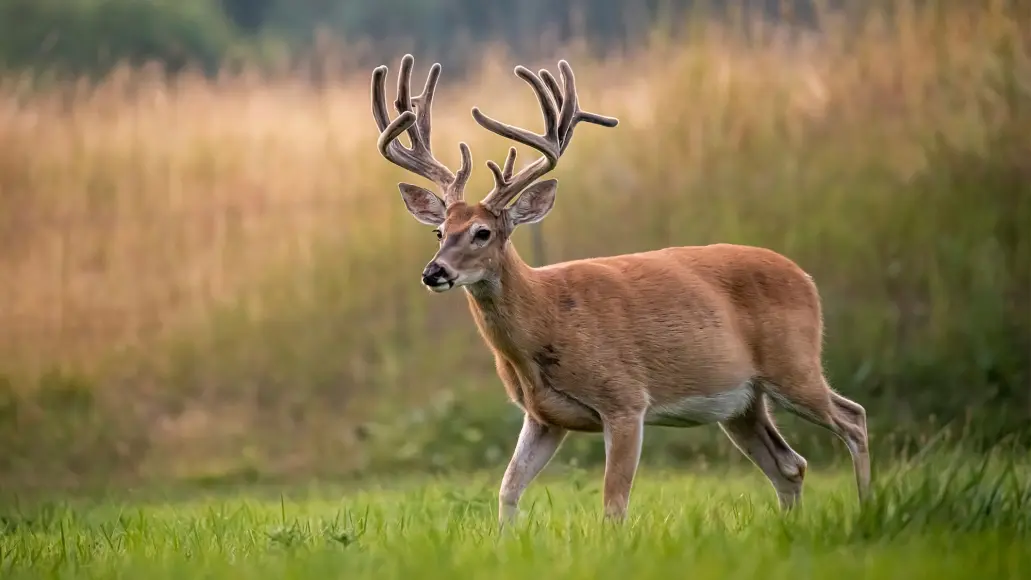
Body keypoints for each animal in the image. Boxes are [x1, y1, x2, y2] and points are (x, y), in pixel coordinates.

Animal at [371, 54, 870, 527]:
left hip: (794, 365)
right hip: (742, 403)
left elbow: (614, 504)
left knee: (853, 419)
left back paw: (869, 509)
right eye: (439, 231)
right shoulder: (542, 416)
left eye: (482, 233)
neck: (545, 318)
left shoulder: (626, 400)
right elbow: (507, 492)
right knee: (790, 465)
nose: (433, 272)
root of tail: (804, 277)